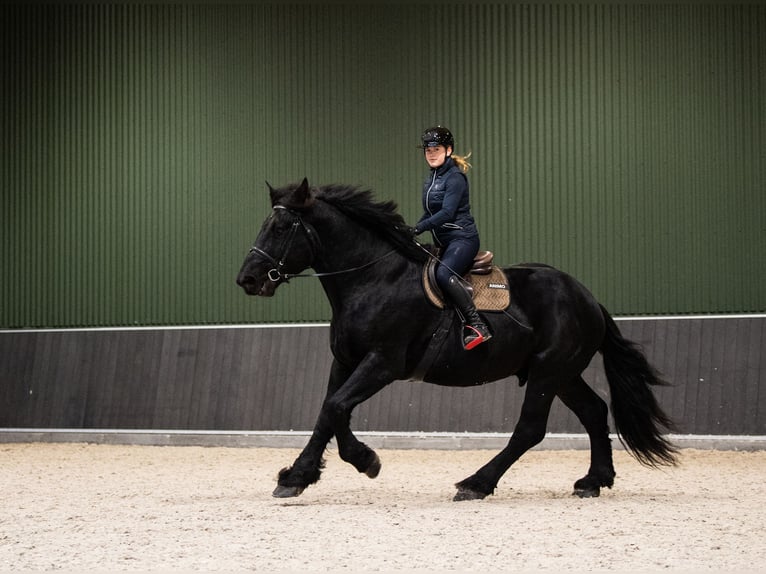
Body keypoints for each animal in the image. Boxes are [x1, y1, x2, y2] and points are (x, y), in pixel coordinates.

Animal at [236, 178, 680, 502]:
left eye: (281, 227)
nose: (248, 280)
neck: (372, 279)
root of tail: (586, 296)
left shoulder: (382, 363)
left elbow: (336, 407)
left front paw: (355, 462)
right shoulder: (345, 361)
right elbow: (328, 413)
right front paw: (306, 474)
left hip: (548, 372)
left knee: (530, 429)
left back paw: (476, 484)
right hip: (563, 374)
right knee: (594, 411)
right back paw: (593, 481)